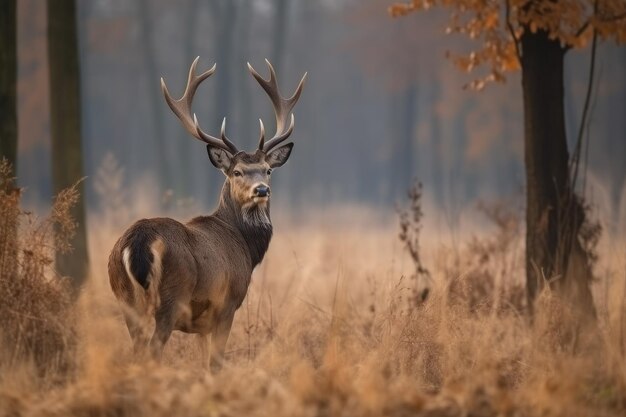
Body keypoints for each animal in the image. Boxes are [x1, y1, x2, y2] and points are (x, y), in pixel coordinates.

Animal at [108, 57, 306, 370]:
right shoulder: (227, 304)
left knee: (136, 351)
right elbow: (215, 363)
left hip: (124, 298)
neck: (245, 247)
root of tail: (136, 242)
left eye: (268, 170)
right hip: (170, 298)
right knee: (152, 350)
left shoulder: (200, 325)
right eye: (237, 172)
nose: (261, 190)